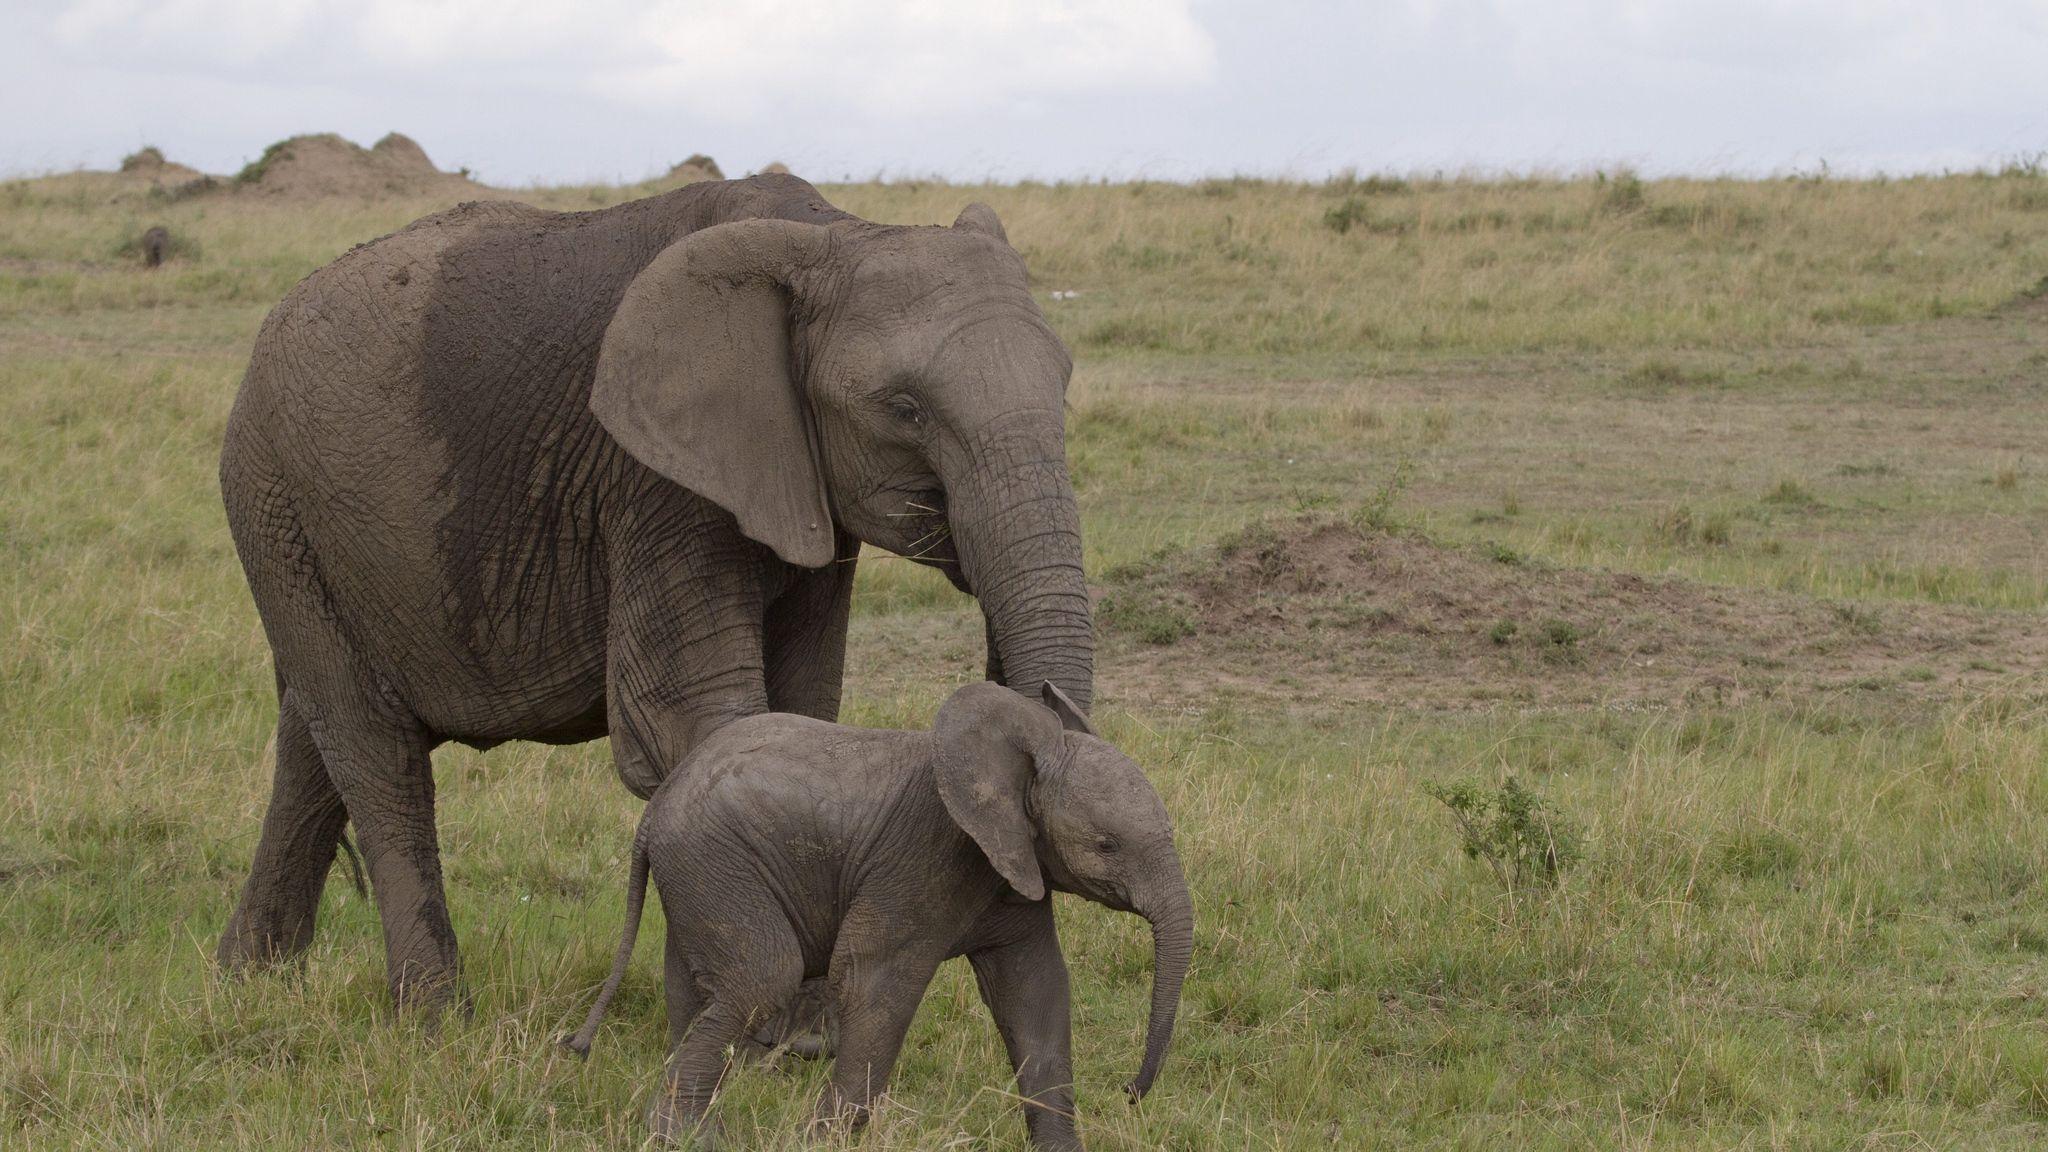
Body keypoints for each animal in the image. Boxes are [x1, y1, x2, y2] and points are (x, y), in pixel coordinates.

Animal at [215, 174, 1094, 1012]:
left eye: (1064, 385)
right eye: (904, 409)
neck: (831, 233)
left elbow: (803, 715)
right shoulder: (653, 480)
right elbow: (692, 721)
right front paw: (774, 1026)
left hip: (304, 531)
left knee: (313, 737)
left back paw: (249, 980)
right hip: (275, 499)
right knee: (373, 750)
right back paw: (432, 1015)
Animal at [566, 681, 1191, 1151]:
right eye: (1108, 845)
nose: (1129, 1093)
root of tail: (653, 811)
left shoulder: (1016, 872)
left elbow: (1034, 993)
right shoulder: (926, 857)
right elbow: (876, 983)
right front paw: (819, 1143)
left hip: (698, 875)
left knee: (698, 990)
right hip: (716, 862)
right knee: (762, 978)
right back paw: (686, 1138)